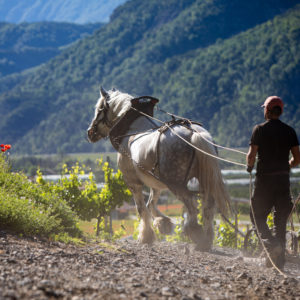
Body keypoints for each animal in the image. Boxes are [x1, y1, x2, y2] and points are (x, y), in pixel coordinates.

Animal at [86, 87, 230, 251]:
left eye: (99, 109)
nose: (90, 132)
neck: (132, 130)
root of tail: (194, 133)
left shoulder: (133, 182)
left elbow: (141, 208)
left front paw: (146, 236)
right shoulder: (155, 183)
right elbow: (151, 204)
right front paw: (163, 223)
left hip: (176, 184)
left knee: (192, 206)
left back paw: (194, 233)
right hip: (203, 179)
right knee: (208, 207)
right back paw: (206, 240)